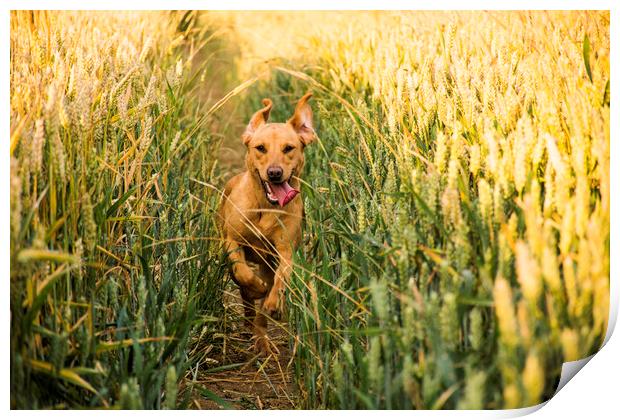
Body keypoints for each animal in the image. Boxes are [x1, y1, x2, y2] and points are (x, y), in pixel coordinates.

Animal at [218, 92, 314, 354]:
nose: (274, 173)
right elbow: (243, 274)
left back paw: (263, 338)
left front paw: (273, 303)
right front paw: (257, 288)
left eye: (289, 148)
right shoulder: (232, 241)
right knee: (243, 289)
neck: (264, 207)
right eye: (260, 148)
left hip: (268, 263)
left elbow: (280, 281)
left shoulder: (285, 253)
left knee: (264, 307)